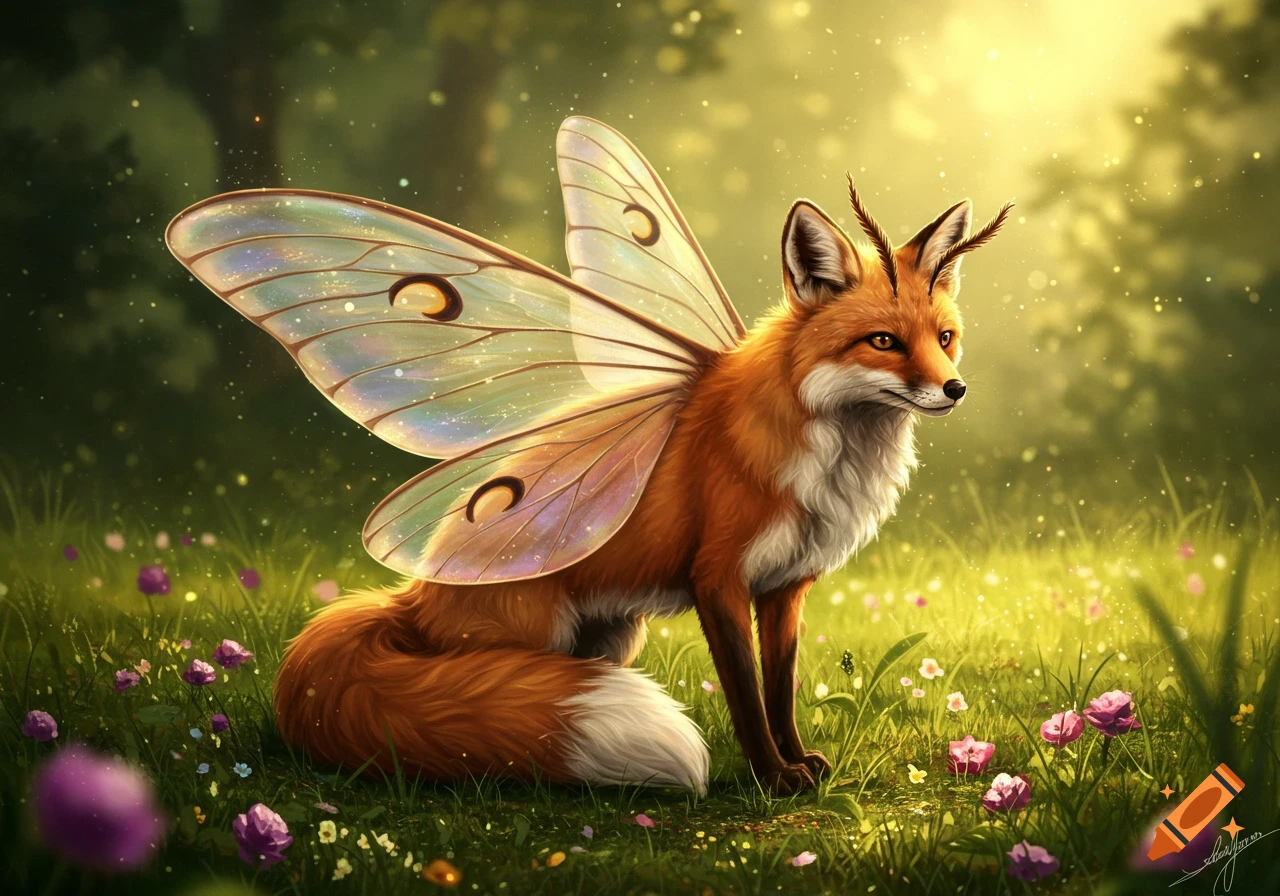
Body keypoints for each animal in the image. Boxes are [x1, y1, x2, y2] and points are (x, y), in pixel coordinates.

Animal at [167, 117, 1010, 796]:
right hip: (533, 639)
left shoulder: (785, 586)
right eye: (883, 341)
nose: (956, 389)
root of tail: (411, 602)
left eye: (945, 338)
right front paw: (773, 780)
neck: (830, 456)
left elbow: (780, 691)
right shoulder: (719, 579)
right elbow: (745, 696)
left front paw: (798, 762)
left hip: (612, 636)